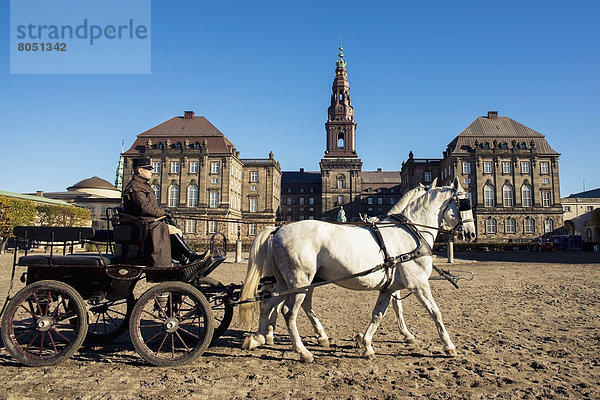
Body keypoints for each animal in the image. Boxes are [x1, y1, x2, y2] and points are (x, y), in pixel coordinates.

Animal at [239, 178, 474, 362]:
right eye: (464, 202)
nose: (471, 233)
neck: (410, 232)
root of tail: (279, 229)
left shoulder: (390, 287)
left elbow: (380, 313)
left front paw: (367, 343)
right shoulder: (418, 283)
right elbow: (435, 312)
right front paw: (448, 345)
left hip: (287, 281)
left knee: (270, 303)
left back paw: (260, 337)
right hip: (300, 281)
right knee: (289, 311)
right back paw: (302, 351)